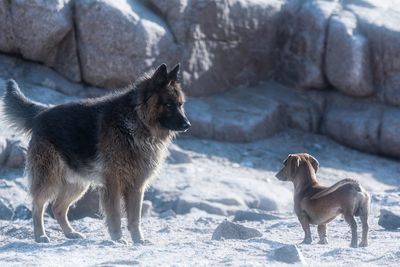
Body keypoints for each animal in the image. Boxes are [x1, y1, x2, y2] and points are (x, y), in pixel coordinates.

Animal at [2, 63, 191, 244]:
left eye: (181, 104)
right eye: (169, 105)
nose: (187, 125)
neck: (136, 121)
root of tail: (40, 114)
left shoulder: (136, 186)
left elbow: (135, 218)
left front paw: (138, 240)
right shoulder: (113, 183)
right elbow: (115, 214)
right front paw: (117, 238)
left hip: (77, 185)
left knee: (57, 208)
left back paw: (70, 233)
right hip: (49, 180)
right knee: (37, 206)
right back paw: (40, 235)